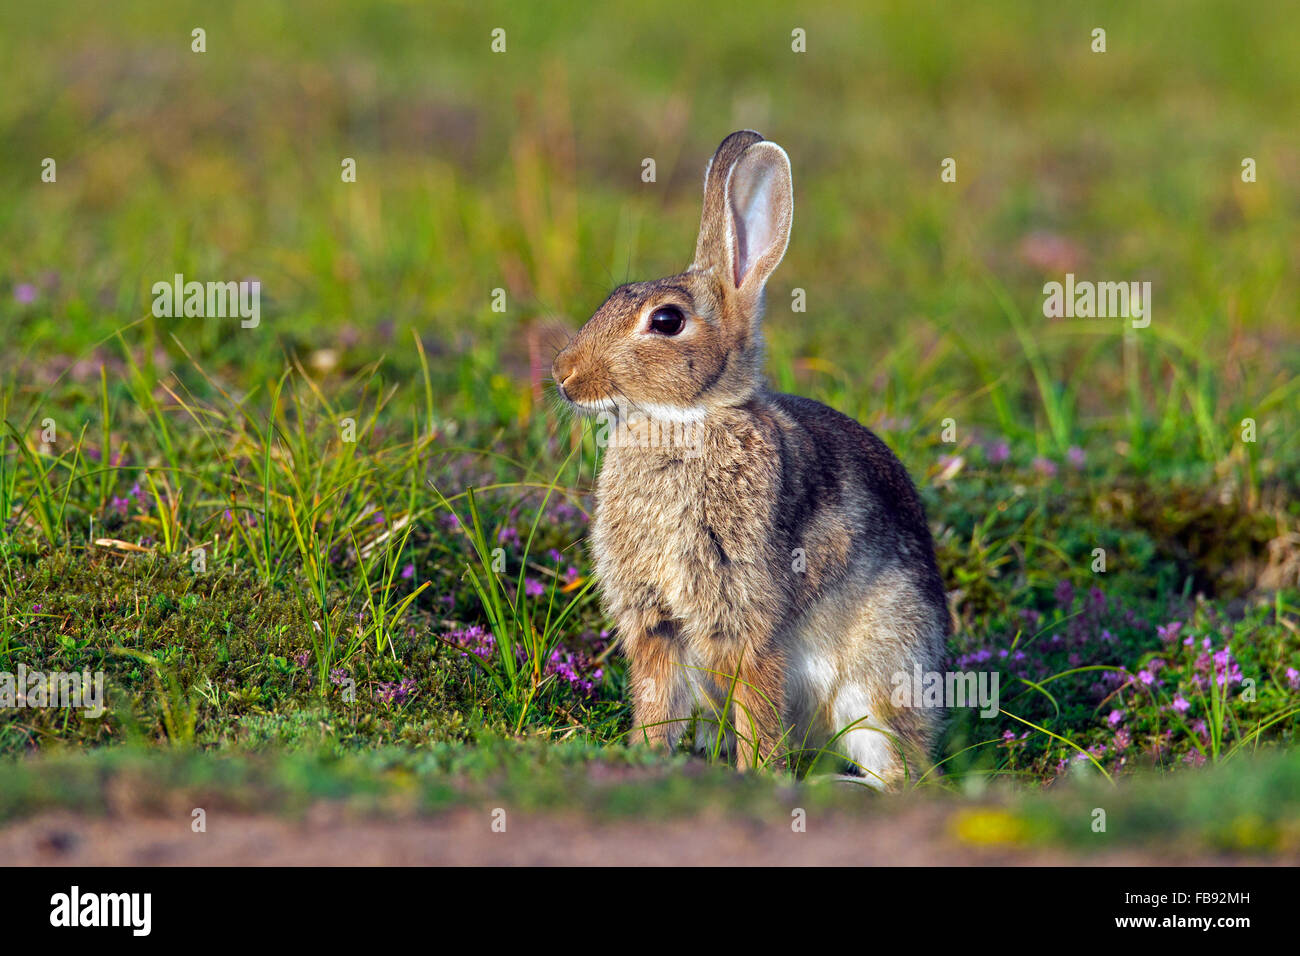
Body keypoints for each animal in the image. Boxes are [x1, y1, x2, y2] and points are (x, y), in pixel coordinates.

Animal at [553, 130, 951, 790]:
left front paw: (758, 774)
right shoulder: (655, 624)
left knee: (900, 772)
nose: (565, 376)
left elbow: (757, 704)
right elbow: (656, 703)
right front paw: (643, 757)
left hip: (876, 679)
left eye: (667, 321)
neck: (685, 423)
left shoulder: (747, 615)